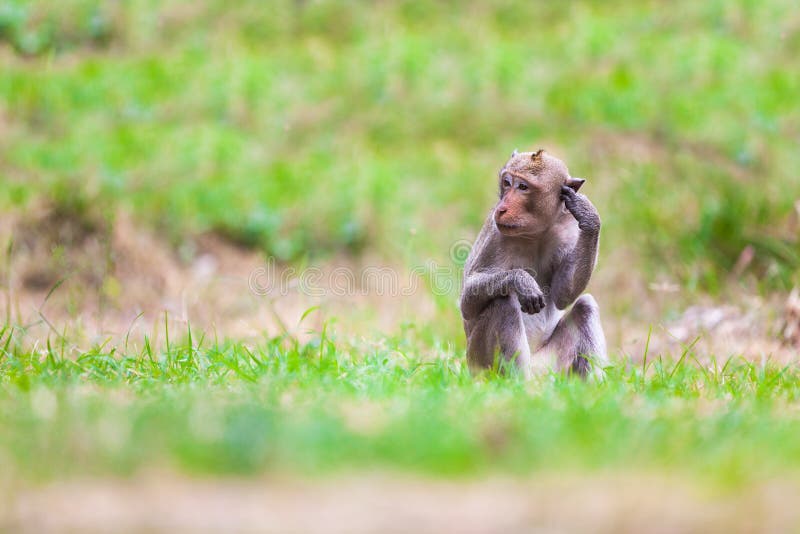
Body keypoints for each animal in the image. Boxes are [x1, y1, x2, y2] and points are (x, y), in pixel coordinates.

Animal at [460, 149, 608, 378]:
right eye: (507, 183)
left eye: (523, 187)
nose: (502, 208)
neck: (535, 233)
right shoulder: (495, 232)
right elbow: (468, 301)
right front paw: (521, 280)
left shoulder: (569, 229)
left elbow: (563, 295)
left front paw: (589, 217)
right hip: (480, 364)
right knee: (503, 302)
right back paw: (518, 383)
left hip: (550, 366)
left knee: (586, 307)